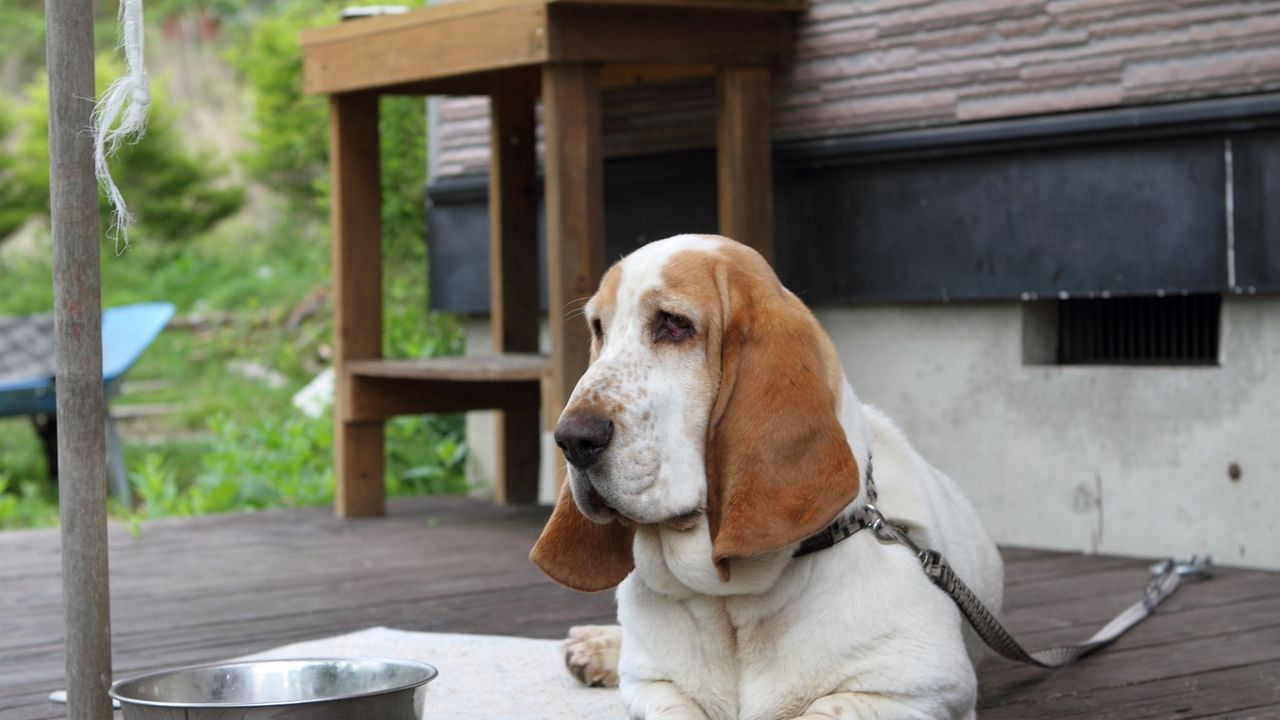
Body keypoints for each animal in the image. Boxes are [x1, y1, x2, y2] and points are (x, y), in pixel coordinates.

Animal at [529, 235, 998, 717]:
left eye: (674, 325)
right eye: (599, 328)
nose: (571, 439)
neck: (728, 600)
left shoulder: (920, 689)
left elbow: (825, 708)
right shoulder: (652, 686)